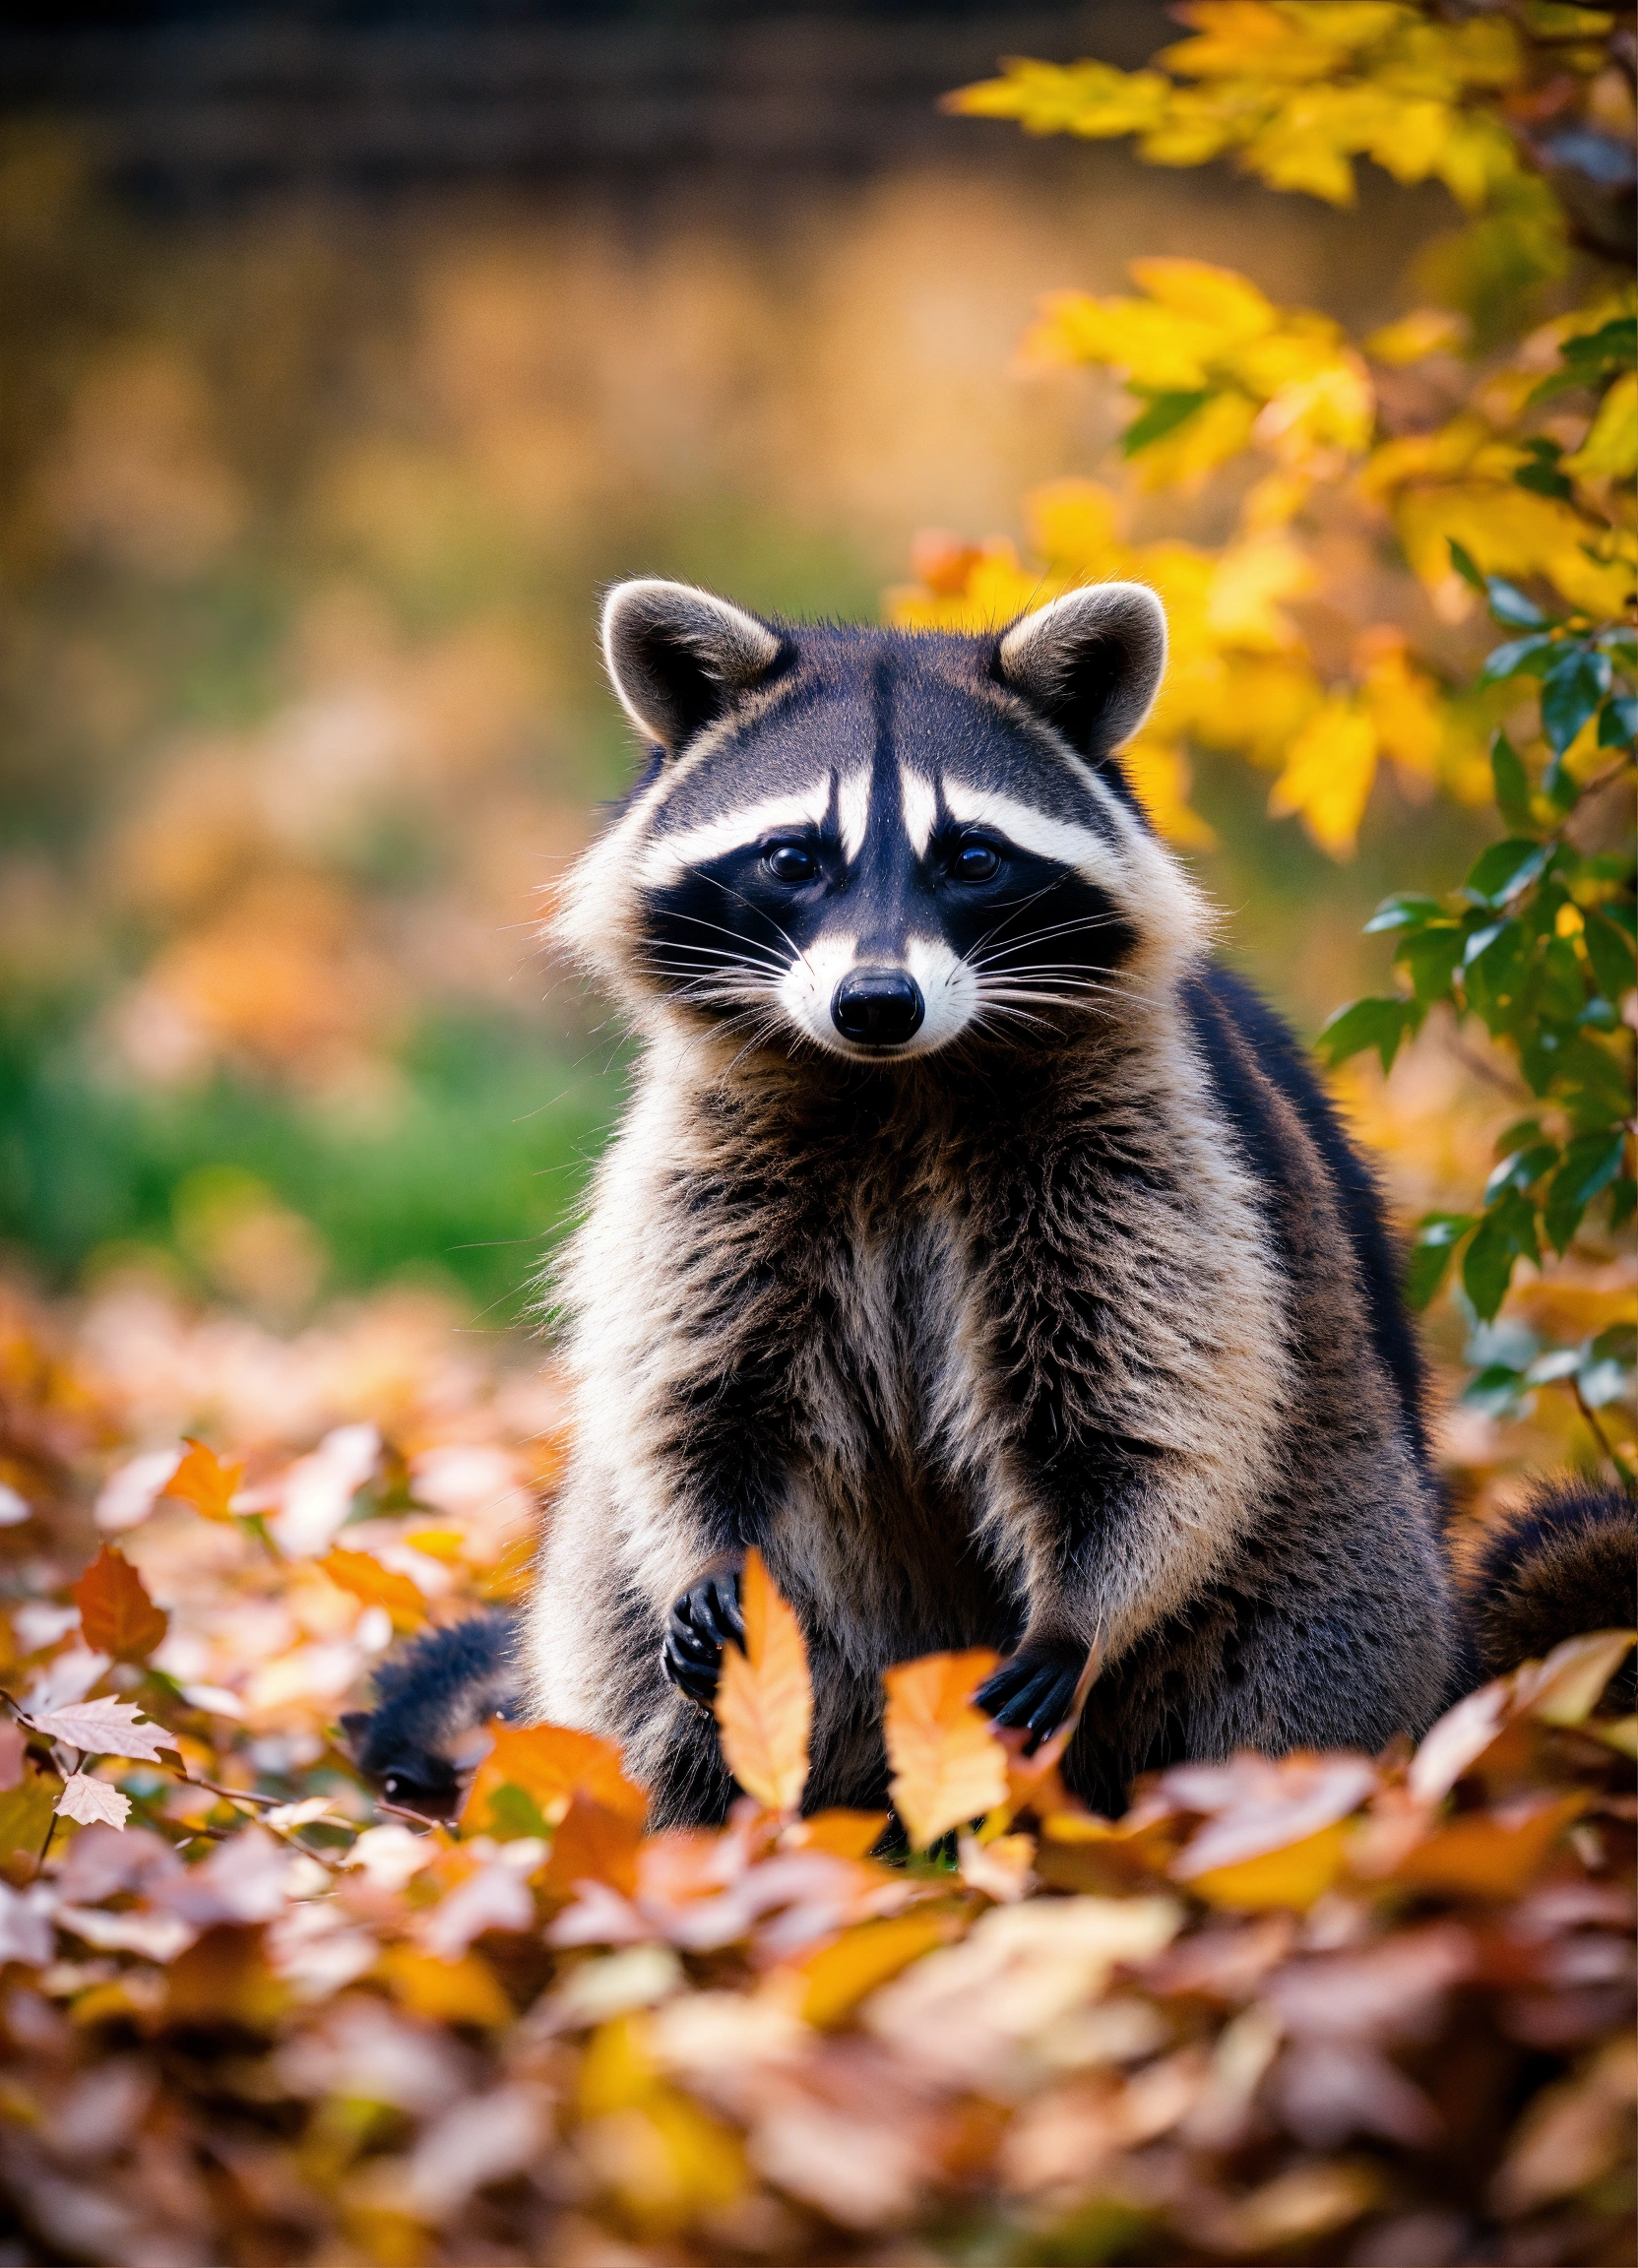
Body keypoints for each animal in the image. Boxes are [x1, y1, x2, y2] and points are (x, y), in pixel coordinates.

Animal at [344, 579, 1634, 1827]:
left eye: (969, 857)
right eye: (792, 858)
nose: (875, 1000)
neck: (897, 1082)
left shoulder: (1146, 1144)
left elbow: (1149, 1410)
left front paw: (1081, 1608)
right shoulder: (709, 1152)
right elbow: (694, 1390)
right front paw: (699, 1541)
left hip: (1341, 1515)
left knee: (1295, 1656)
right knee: (624, 1637)